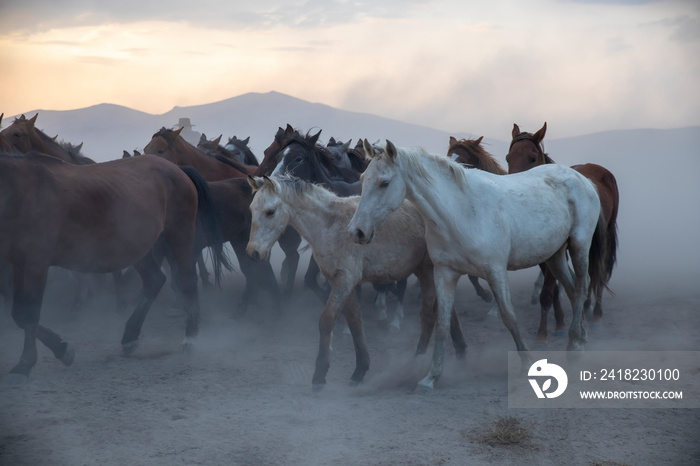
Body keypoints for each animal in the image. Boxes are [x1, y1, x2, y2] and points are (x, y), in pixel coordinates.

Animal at [0, 151, 224, 384]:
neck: (21, 191)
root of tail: (177, 169)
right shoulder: (20, 263)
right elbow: (18, 314)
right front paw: (62, 349)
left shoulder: (36, 263)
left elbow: (29, 315)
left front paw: (24, 365)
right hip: (138, 247)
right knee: (154, 281)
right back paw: (130, 336)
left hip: (179, 236)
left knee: (187, 281)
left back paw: (190, 337)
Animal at [243, 177, 468, 388]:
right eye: (251, 209)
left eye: (270, 212)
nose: (253, 253)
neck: (330, 224)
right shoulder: (342, 282)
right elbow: (354, 322)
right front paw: (360, 370)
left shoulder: (345, 279)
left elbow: (327, 320)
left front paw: (320, 375)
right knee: (446, 310)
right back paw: (460, 352)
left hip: (428, 271)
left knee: (428, 315)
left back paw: (416, 364)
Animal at [350, 140, 608, 392]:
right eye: (363, 179)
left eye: (384, 183)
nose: (357, 231)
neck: (459, 212)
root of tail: (582, 179)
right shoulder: (445, 274)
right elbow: (442, 324)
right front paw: (431, 377)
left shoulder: (495, 272)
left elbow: (509, 316)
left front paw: (527, 364)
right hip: (554, 256)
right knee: (572, 290)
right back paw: (580, 340)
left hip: (579, 246)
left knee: (582, 287)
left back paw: (574, 347)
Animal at [504, 122, 616, 344]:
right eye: (508, 157)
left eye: (532, 158)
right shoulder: (545, 256)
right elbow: (555, 289)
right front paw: (560, 323)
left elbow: (548, 292)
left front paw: (542, 334)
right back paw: (586, 307)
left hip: (604, 238)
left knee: (598, 274)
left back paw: (596, 315)